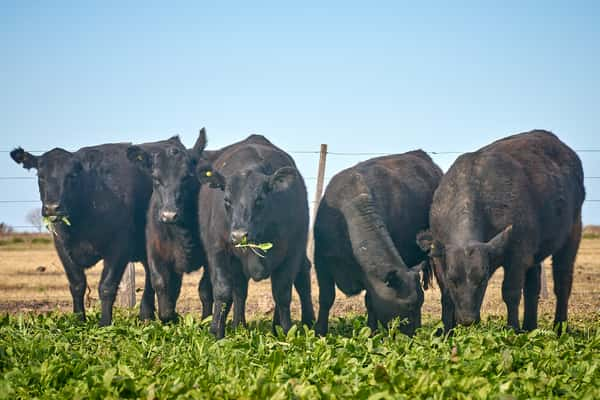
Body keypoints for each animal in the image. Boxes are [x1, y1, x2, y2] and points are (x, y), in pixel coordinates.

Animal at [10, 144, 156, 324]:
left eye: (71, 176)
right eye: (41, 176)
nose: (52, 207)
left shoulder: (119, 246)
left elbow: (106, 287)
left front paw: (104, 324)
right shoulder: (62, 247)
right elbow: (77, 284)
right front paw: (78, 320)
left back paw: (146, 315)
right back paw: (147, 315)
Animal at [125, 130, 212, 322]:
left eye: (187, 177)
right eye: (156, 178)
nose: (169, 214)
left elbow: (206, 289)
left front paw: (206, 320)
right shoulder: (156, 253)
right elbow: (161, 284)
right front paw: (170, 317)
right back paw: (146, 315)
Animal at [198, 134, 318, 338]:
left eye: (260, 199)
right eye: (227, 200)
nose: (239, 235)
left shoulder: (292, 251)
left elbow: (282, 292)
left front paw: (286, 333)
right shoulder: (218, 249)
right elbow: (223, 290)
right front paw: (216, 332)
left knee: (302, 276)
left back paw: (302, 323)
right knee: (239, 290)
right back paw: (239, 325)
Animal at [314, 152, 440, 336]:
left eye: (421, 302)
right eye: (409, 305)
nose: (415, 334)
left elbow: (371, 301)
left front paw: (372, 332)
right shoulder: (321, 262)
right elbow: (326, 298)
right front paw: (319, 332)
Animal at [420, 130, 584, 332]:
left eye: (482, 280)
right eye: (453, 280)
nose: (467, 320)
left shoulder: (517, 254)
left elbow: (510, 292)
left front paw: (512, 329)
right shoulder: (439, 259)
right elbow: (447, 296)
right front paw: (447, 331)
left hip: (573, 231)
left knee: (562, 281)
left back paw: (560, 327)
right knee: (533, 286)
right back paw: (529, 327)